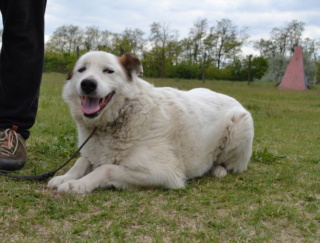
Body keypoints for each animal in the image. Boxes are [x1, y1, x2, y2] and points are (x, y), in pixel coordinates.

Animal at [47, 50, 254, 194]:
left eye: (108, 71)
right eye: (81, 70)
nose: (88, 84)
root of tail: (233, 99)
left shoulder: (164, 173)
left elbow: (106, 169)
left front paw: (78, 184)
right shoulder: (94, 153)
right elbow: (81, 160)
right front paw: (64, 177)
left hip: (241, 125)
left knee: (227, 163)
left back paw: (218, 170)